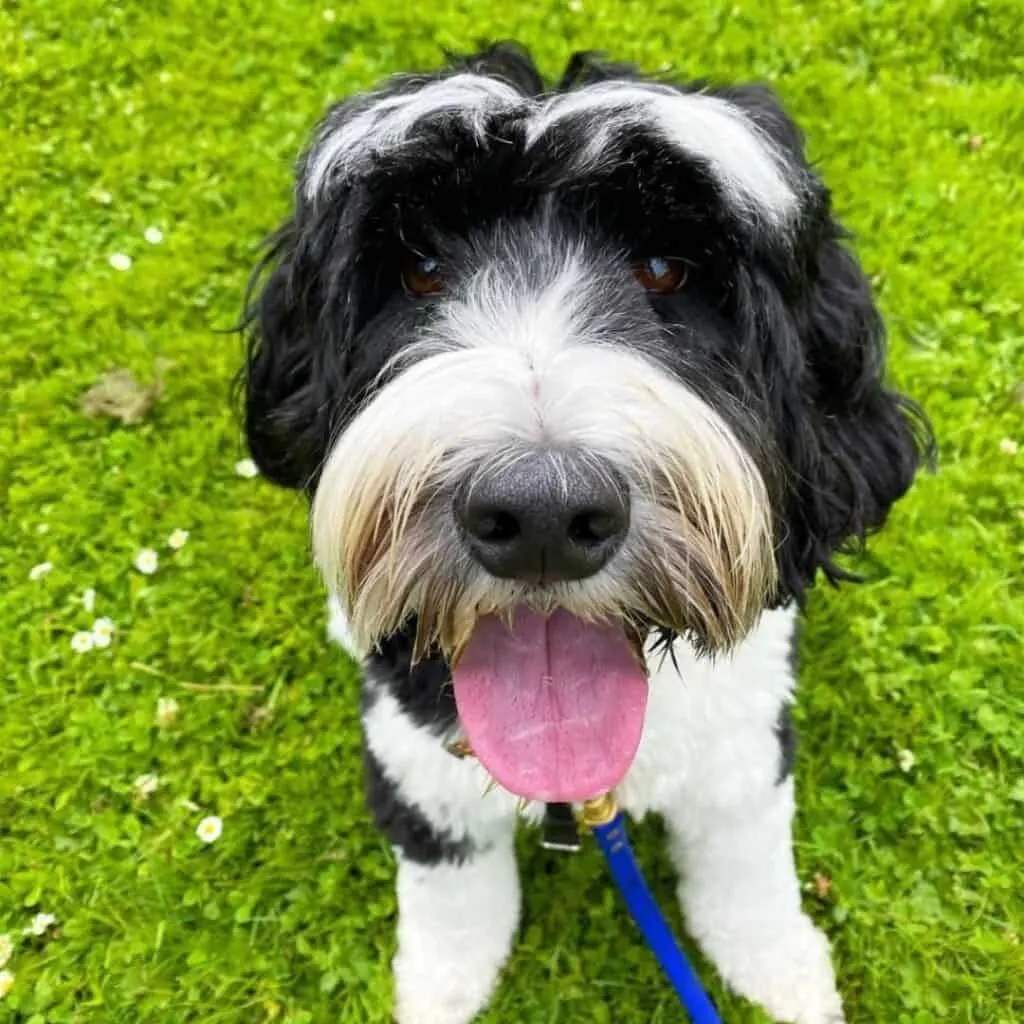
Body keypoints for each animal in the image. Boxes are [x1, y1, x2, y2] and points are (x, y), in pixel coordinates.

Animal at [243, 41, 933, 1024]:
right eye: (420, 270)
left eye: (665, 269)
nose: (542, 514)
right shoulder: (419, 769)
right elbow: (454, 898)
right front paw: (443, 985)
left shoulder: (744, 746)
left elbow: (746, 872)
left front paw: (780, 969)